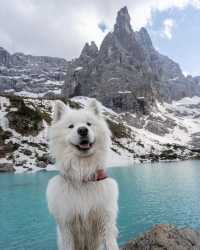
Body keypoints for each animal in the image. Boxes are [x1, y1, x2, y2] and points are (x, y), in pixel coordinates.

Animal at [46, 99, 119, 250]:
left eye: (89, 124)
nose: (83, 130)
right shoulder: (67, 225)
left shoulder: (106, 219)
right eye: (71, 126)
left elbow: (110, 243)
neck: (83, 174)